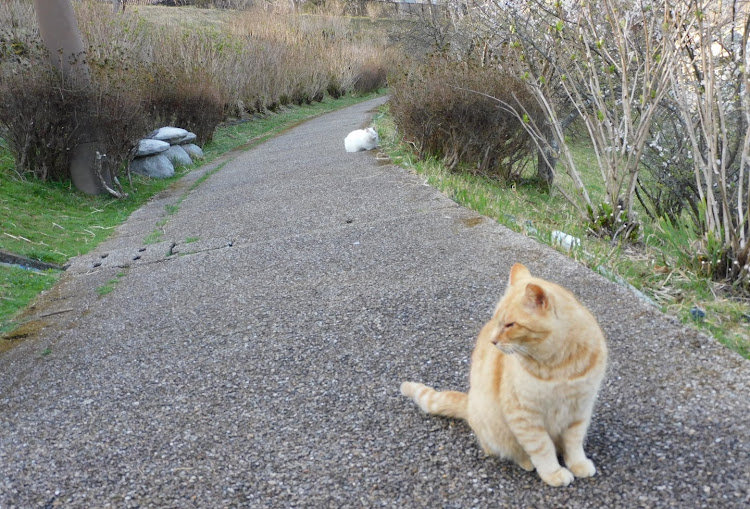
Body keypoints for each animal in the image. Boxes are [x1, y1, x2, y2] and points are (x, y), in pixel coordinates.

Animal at [402, 264, 608, 486]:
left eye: (510, 325)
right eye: (497, 321)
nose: (493, 341)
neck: (560, 365)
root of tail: (470, 403)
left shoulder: (580, 409)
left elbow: (574, 443)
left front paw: (578, 463)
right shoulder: (524, 415)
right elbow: (542, 447)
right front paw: (553, 473)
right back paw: (526, 461)